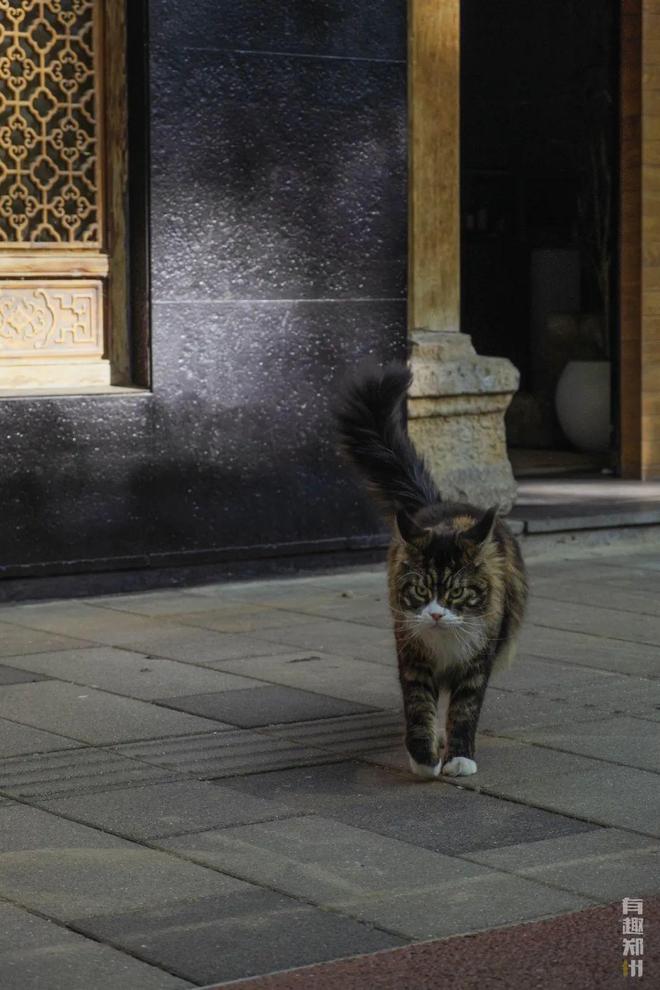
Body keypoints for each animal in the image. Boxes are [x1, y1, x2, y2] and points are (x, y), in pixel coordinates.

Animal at [336, 360, 524, 780]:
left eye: (456, 592)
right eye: (421, 591)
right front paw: (423, 756)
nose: (436, 614)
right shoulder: (412, 656)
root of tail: (437, 504)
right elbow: (420, 706)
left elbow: (465, 710)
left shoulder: (478, 662)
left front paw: (459, 757)